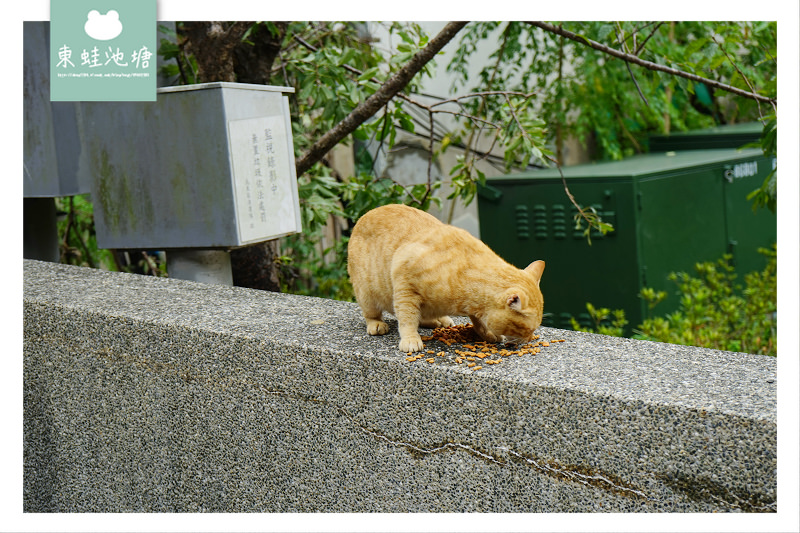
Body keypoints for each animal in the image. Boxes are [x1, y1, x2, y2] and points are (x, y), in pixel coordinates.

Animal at [348, 205, 544, 354]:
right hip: (367, 294)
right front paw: (410, 338)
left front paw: (487, 333)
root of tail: (365, 215)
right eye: (528, 329)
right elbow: (407, 318)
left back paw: (438, 320)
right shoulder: (405, 285)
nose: (529, 339)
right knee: (372, 313)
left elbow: (479, 322)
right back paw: (377, 324)